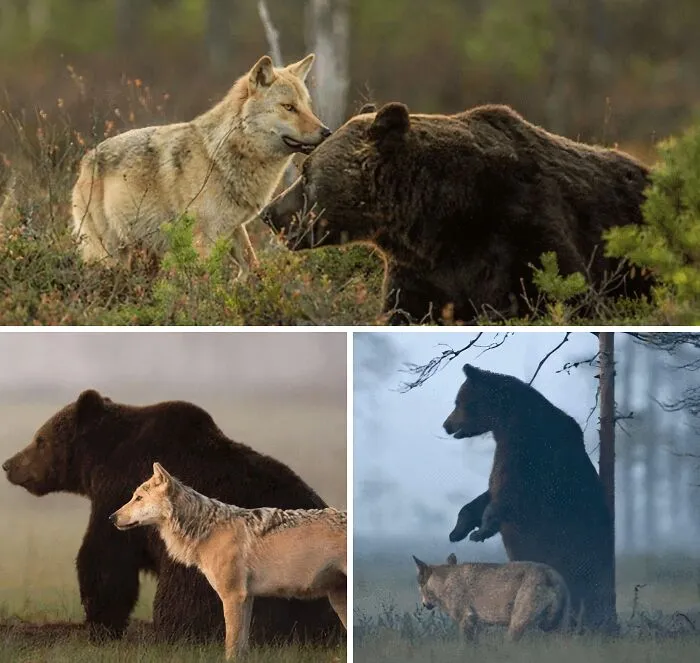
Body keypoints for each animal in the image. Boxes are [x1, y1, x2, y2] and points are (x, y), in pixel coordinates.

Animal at [72, 53, 330, 276]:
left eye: (307, 106)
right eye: (289, 107)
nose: (326, 132)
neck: (219, 157)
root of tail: (85, 161)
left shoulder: (234, 227)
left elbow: (252, 266)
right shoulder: (203, 239)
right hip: (108, 254)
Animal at [111, 463, 346, 660]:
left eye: (138, 498)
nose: (111, 518)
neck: (207, 530)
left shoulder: (233, 596)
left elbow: (231, 646)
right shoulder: (247, 598)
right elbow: (241, 646)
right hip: (338, 600)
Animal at [259, 102, 652, 324]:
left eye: (306, 172)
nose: (269, 212)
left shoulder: (522, 229)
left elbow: (568, 296)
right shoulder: (421, 273)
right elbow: (405, 312)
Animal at [412, 554, 571, 641]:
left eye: (419, 585)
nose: (424, 604)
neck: (445, 582)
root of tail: (551, 574)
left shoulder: (466, 620)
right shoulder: (478, 625)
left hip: (516, 625)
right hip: (556, 627)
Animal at [442, 364, 616, 633]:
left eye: (458, 402)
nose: (446, 425)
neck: (507, 422)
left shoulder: (528, 453)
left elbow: (508, 494)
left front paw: (481, 531)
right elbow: (486, 494)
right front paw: (458, 530)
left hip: (575, 554)